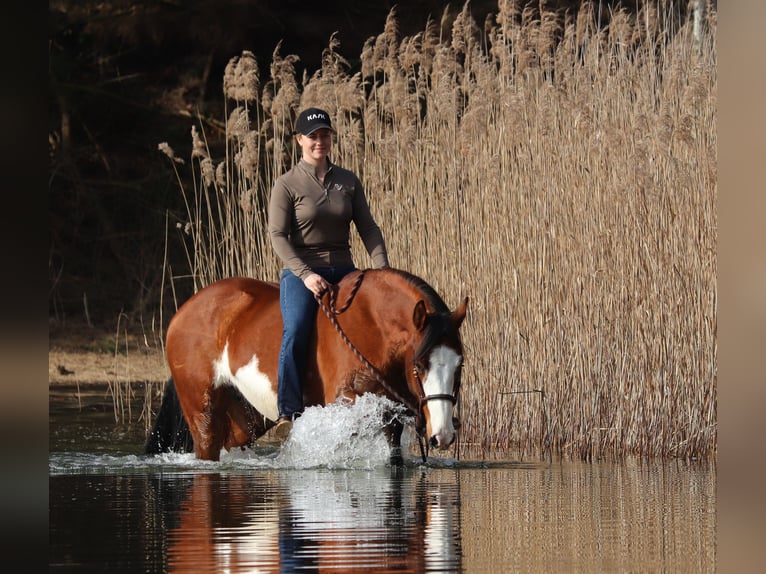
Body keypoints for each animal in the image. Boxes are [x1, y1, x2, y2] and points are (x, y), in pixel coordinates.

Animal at [145, 267, 468, 464]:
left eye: (460, 365)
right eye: (420, 365)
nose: (443, 435)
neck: (372, 326)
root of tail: (184, 311)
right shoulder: (344, 401)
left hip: (245, 417)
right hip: (203, 411)